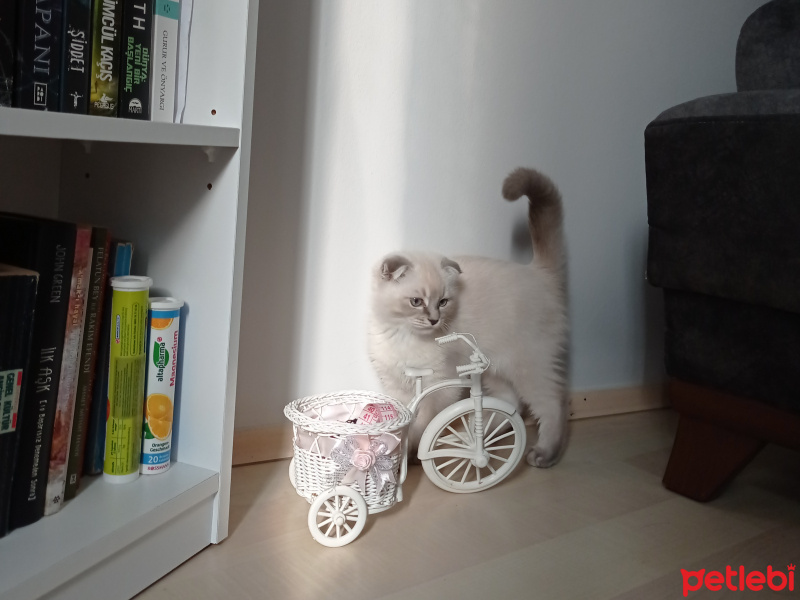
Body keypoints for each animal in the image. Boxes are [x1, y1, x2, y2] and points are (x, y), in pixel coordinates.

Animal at [368, 166, 568, 466]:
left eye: (443, 302)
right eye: (416, 302)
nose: (434, 320)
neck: (404, 336)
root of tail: (536, 271)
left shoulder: (440, 385)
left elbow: (423, 423)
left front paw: (412, 452)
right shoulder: (397, 387)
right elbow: (402, 423)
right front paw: (395, 456)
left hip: (527, 364)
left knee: (550, 403)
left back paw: (543, 454)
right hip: (494, 367)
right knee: (510, 403)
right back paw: (479, 435)